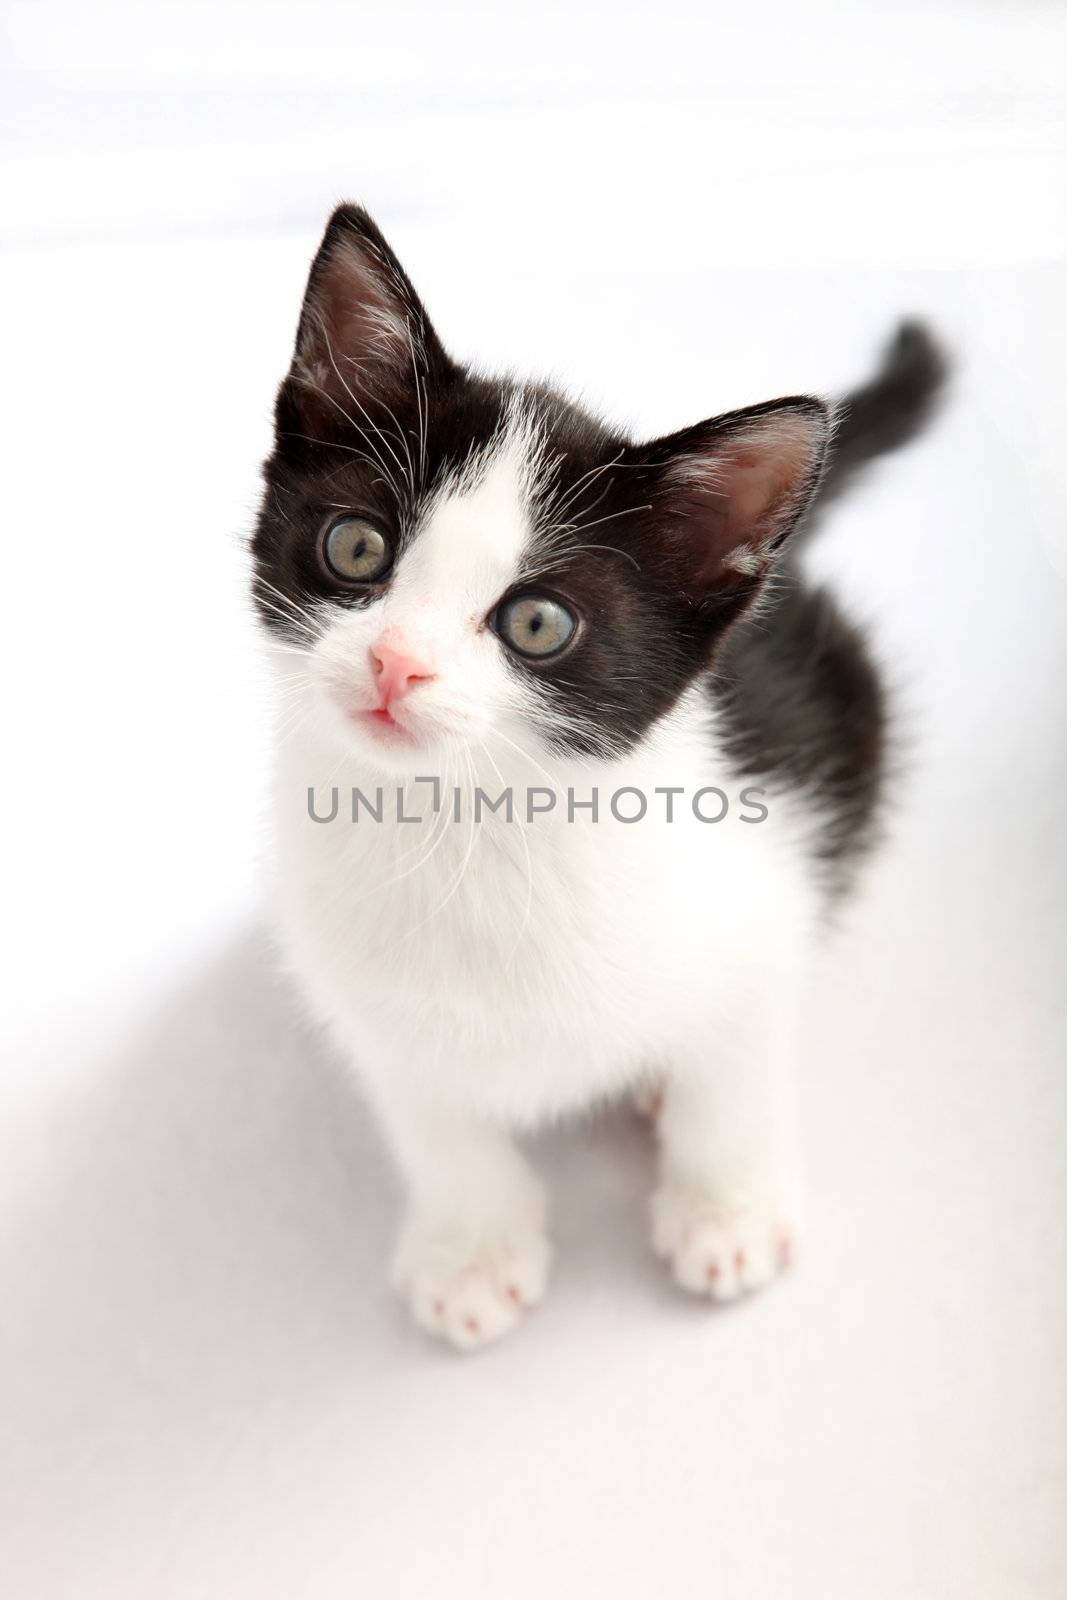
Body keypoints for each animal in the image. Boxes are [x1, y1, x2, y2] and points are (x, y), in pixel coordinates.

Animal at [254, 200, 947, 1350]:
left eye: (537, 623)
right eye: (355, 548)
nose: (396, 663)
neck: (473, 831)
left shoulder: (763, 886)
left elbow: (732, 1069)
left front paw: (724, 1212)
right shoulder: (365, 993)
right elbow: (437, 1121)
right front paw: (472, 1250)